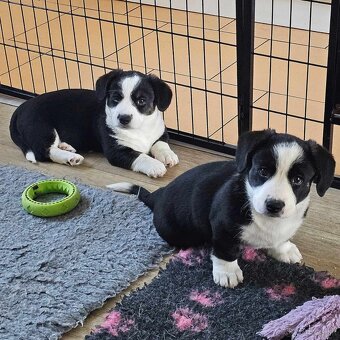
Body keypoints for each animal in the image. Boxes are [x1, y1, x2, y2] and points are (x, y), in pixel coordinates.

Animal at [8, 70, 178, 179]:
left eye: (141, 101)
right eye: (115, 98)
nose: (123, 118)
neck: (139, 130)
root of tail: (21, 107)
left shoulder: (160, 132)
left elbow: (160, 144)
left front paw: (168, 155)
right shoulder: (116, 151)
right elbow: (140, 156)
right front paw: (155, 166)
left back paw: (66, 147)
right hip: (43, 129)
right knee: (44, 152)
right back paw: (71, 158)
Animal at [108, 129, 334, 288]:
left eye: (298, 180)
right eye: (262, 171)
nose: (274, 205)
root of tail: (158, 196)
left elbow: (280, 239)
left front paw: (284, 249)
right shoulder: (223, 225)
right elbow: (225, 250)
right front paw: (227, 273)